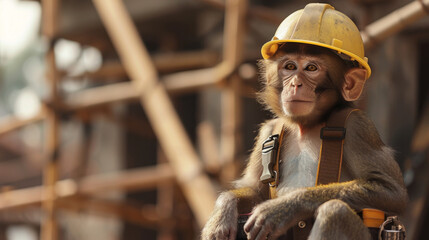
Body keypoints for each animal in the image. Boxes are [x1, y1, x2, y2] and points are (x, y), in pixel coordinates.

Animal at [201, 41, 408, 240]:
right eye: (290, 67)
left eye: (311, 68)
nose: (295, 84)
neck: (306, 125)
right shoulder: (266, 131)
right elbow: (255, 189)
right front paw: (224, 209)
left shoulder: (358, 126)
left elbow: (391, 190)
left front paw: (284, 208)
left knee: (335, 211)